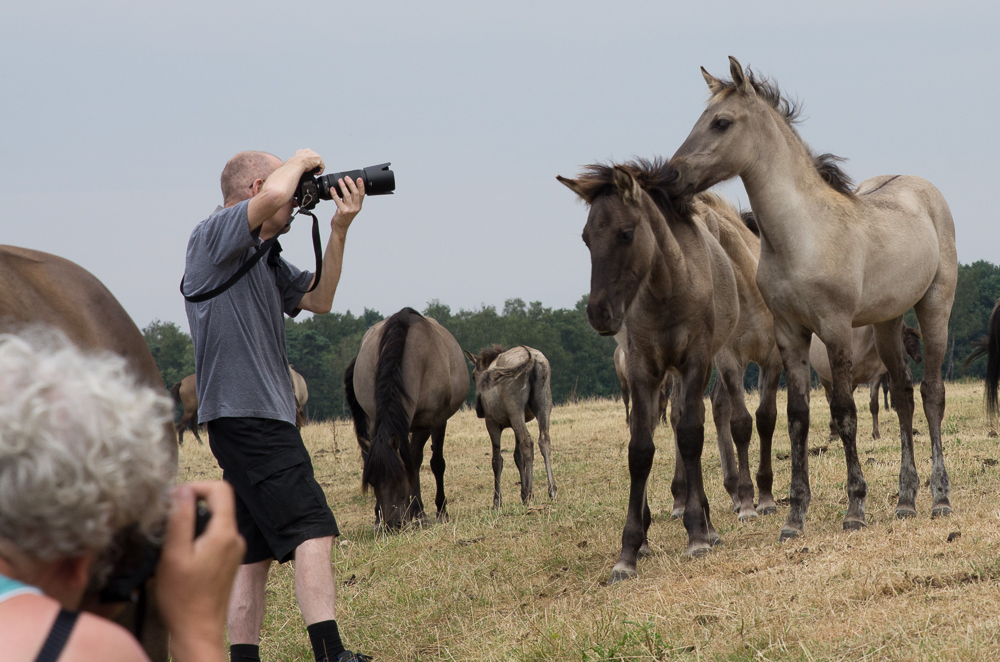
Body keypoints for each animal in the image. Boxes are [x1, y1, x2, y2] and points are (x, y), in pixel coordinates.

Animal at [170, 368, 308, 446]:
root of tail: (182, 382)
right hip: (190, 410)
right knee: (182, 425)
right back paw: (181, 444)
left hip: (193, 411)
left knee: (193, 427)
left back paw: (200, 443)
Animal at [344, 308, 468, 532]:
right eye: (373, 483)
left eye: (398, 479)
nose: (392, 524)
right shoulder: (377, 421)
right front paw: (387, 515)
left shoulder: (433, 422)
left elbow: (433, 463)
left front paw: (436, 512)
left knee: (417, 459)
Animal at [464, 348, 560, 508]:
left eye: (473, 376)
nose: (479, 409)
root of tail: (531, 358)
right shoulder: (516, 423)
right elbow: (518, 456)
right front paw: (522, 493)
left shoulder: (492, 423)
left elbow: (497, 460)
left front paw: (497, 500)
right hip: (543, 407)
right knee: (544, 441)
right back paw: (551, 490)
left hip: (516, 412)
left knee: (528, 443)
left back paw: (530, 493)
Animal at [668, 57, 956, 544]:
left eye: (721, 122)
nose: (670, 176)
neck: (801, 235)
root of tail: (925, 190)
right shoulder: (790, 335)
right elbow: (796, 417)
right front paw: (793, 517)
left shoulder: (834, 329)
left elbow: (844, 413)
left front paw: (854, 509)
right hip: (887, 322)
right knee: (903, 395)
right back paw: (905, 501)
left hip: (934, 307)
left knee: (931, 393)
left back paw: (939, 499)